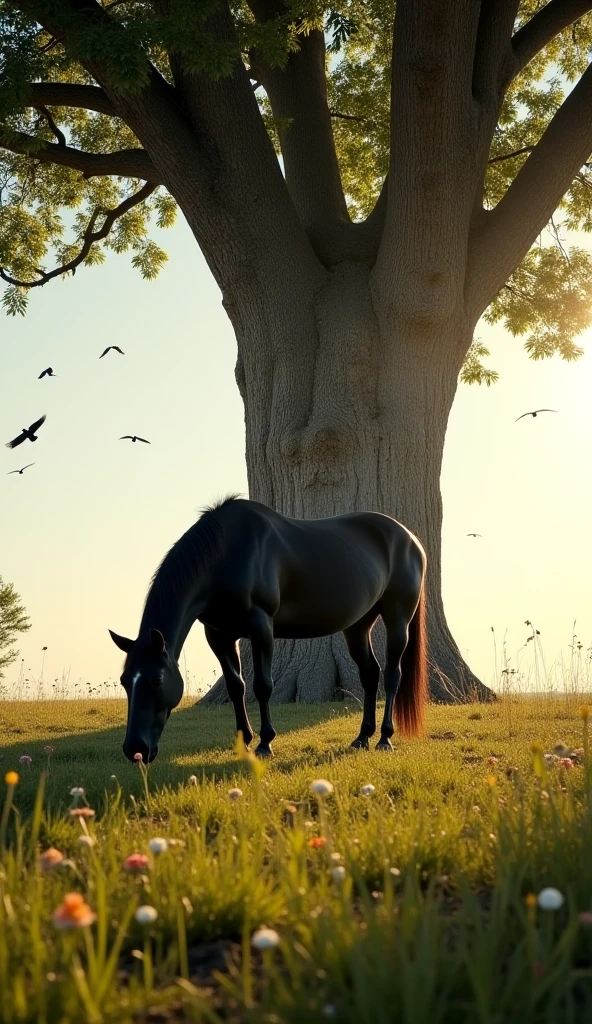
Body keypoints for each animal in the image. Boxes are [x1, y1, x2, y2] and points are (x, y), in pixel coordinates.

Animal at [110, 496, 427, 762]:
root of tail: (412, 539)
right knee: (370, 674)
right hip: (358, 625)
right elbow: (236, 686)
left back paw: (385, 738)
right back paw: (362, 736)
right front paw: (244, 740)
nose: (135, 750)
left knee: (392, 676)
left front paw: (265, 743)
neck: (227, 555)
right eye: (125, 681)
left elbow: (263, 686)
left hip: (397, 620)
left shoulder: (261, 626)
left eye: (156, 680)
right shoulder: (219, 635)